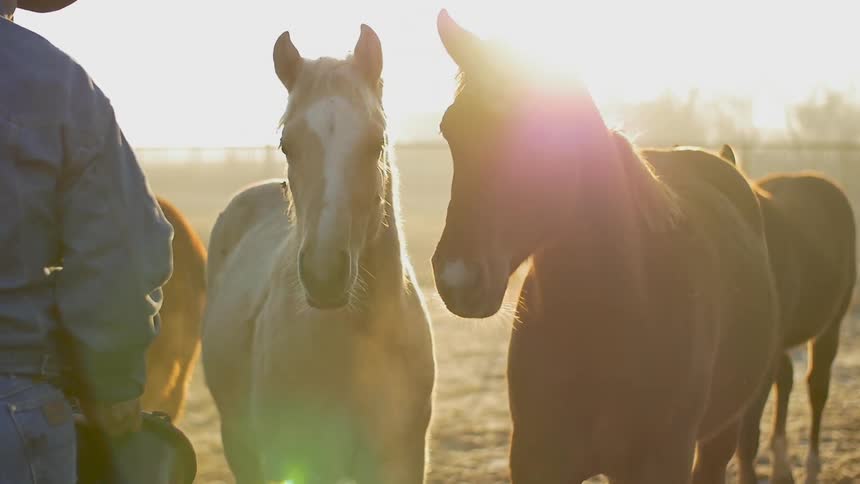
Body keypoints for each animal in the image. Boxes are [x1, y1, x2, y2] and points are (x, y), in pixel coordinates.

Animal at [717, 145, 856, 484]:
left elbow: (746, 436)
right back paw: (781, 466)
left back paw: (811, 465)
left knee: (817, 386)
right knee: (788, 378)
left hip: (831, 325)